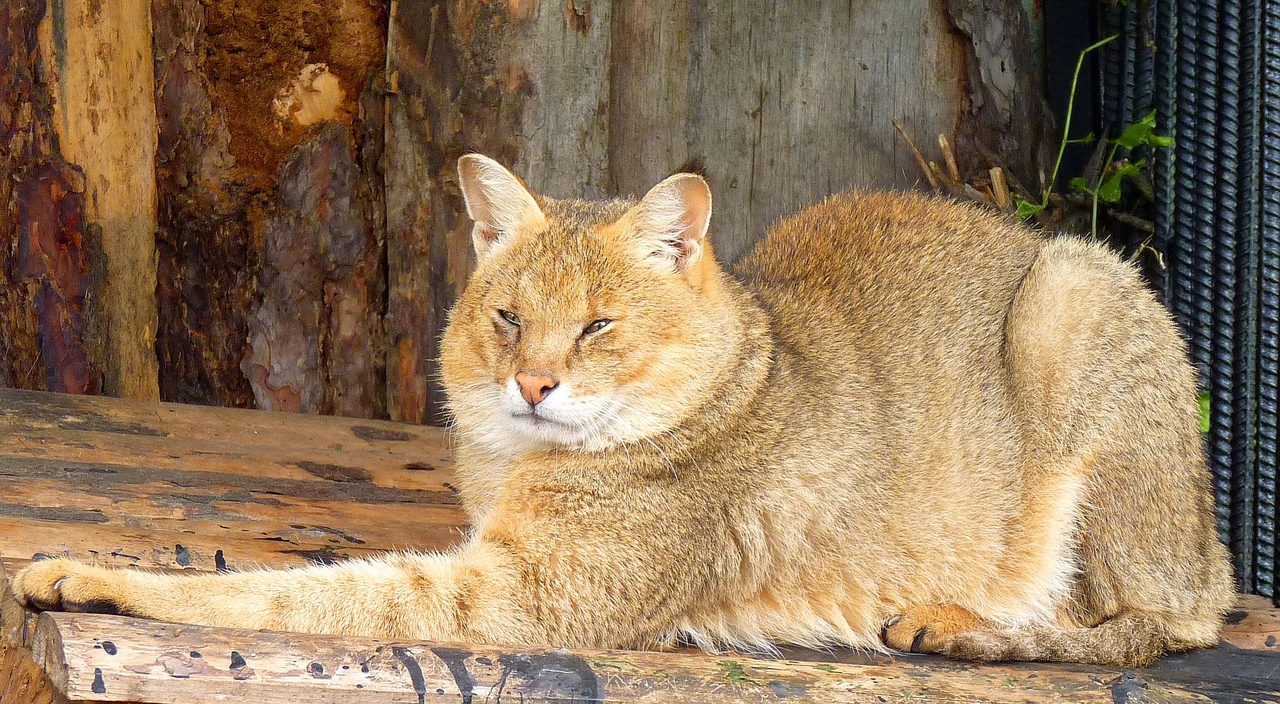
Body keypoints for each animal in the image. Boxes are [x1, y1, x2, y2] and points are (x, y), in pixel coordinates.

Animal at [7, 152, 1228, 665]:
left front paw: (89, 575)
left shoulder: (523, 595)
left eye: (596, 325)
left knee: (1168, 621)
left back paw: (958, 623)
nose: (533, 383)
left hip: (1078, 300)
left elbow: (303, 596)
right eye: (508, 318)